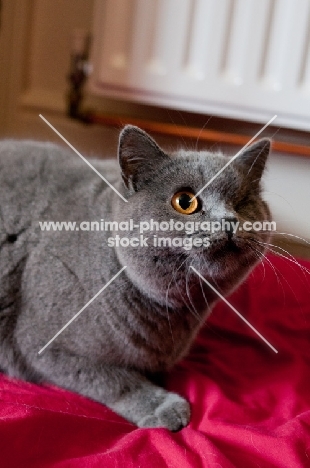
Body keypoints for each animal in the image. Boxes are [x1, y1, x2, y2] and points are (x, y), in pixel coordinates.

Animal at [0, 125, 272, 432]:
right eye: (185, 202)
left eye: (242, 202)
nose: (228, 220)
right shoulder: (41, 345)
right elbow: (115, 380)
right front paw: (163, 407)